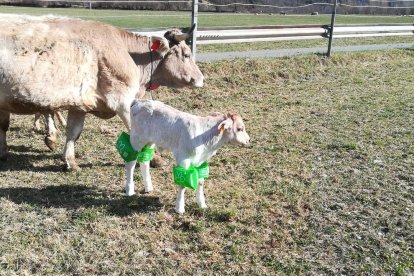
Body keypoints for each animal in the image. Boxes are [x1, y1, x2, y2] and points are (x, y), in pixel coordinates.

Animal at [0, 15, 204, 170]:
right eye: (186, 54)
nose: (202, 79)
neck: (128, 53)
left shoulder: (79, 105)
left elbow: (73, 132)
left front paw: (70, 161)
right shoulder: (122, 101)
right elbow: (138, 132)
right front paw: (156, 160)